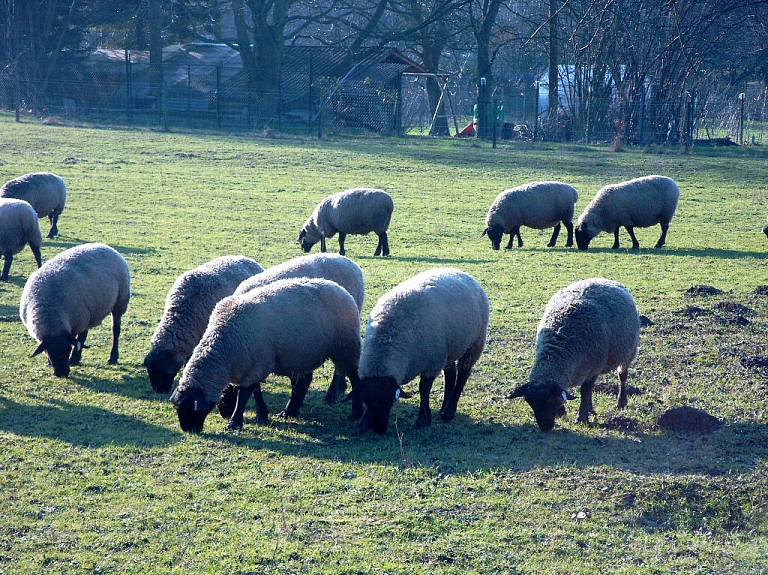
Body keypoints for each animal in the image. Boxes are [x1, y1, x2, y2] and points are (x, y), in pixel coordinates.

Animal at [19, 243, 130, 378]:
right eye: (48, 351)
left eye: (67, 349)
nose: (62, 373)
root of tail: (105, 246)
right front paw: (50, 362)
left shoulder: (77, 322)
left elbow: (77, 340)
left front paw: (72, 358)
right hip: (88, 311)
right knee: (84, 334)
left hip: (119, 302)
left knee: (115, 330)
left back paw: (111, 357)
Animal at [170, 278, 362, 432]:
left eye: (189, 408)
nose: (189, 430)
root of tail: (342, 290)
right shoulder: (254, 364)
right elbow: (255, 390)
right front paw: (262, 414)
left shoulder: (258, 364)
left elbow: (244, 394)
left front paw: (234, 423)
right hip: (300, 355)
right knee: (302, 384)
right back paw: (289, 411)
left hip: (346, 347)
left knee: (355, 378)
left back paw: (356, 412)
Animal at [352, 268, 488, 434]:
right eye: (366, 402)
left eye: (390, 402)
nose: (379, 429)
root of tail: (460, 272)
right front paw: (364, 422)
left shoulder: (433, 362)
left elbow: (424, 389)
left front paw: (422, 420)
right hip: (449, 348)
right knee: (451, 374)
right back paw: (443, 408)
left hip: (474, 343)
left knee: (463, 374)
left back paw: (449, 412)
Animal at [508, 278, 640, 432]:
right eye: (530, 403)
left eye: (548, 400)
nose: (546, 428)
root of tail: (602, 279)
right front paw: (563, 412)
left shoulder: (594, 367)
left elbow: (584, 390)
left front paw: (581, 417)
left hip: (628, 352)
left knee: (622, 377)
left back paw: (621, 402)